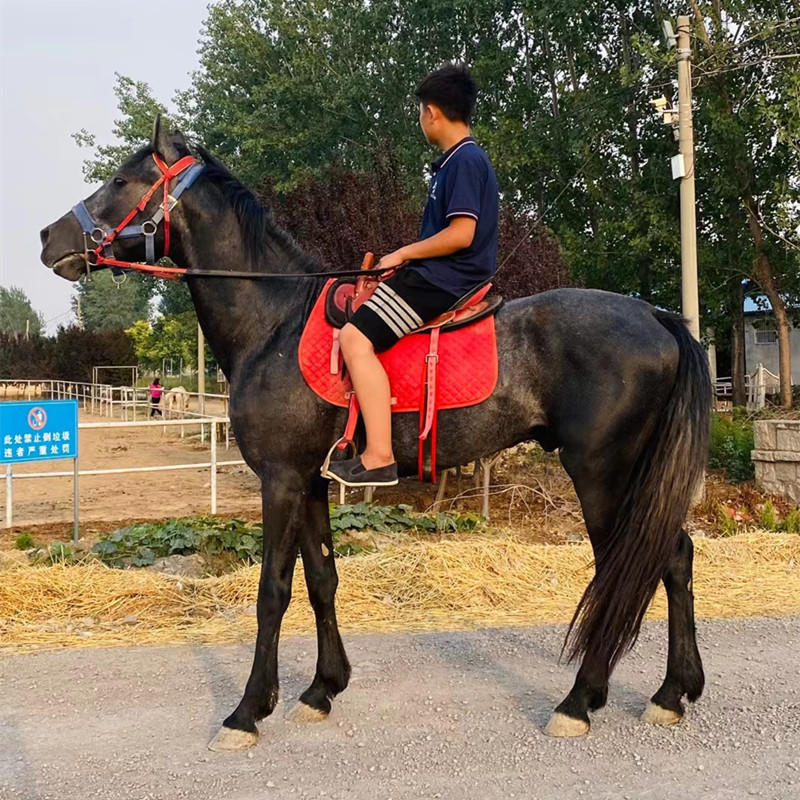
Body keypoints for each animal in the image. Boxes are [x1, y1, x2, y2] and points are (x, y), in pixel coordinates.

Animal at [40, 120, 708, 752]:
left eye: (120, 181)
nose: (49, 237)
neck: (273, 322)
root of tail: (656, 315)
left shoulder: (280, 480)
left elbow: (272, 591)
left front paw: (247, 712)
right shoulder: (309, 481)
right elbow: (322, 580)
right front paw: (321, 689)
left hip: (601, 474)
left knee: (636, 565)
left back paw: (580, 701)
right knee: (674, 557)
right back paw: (672, 691)